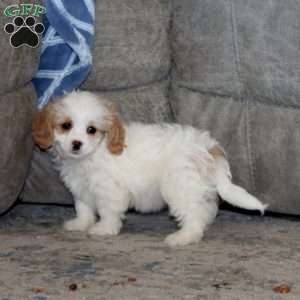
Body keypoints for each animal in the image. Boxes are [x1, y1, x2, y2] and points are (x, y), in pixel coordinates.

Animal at [32, 91, 268, 246]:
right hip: (194, 185)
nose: (76, 144)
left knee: (192, 214)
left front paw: (103, 229)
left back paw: (184, 237)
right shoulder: (81, 188)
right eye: (66, 126)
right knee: (205, 209)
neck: (93, 153)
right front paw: (80, 224)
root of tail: (208, 145)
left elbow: (108, 211)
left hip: (179, 185)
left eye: (91, 130)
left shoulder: (110, 190)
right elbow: (83, 207)